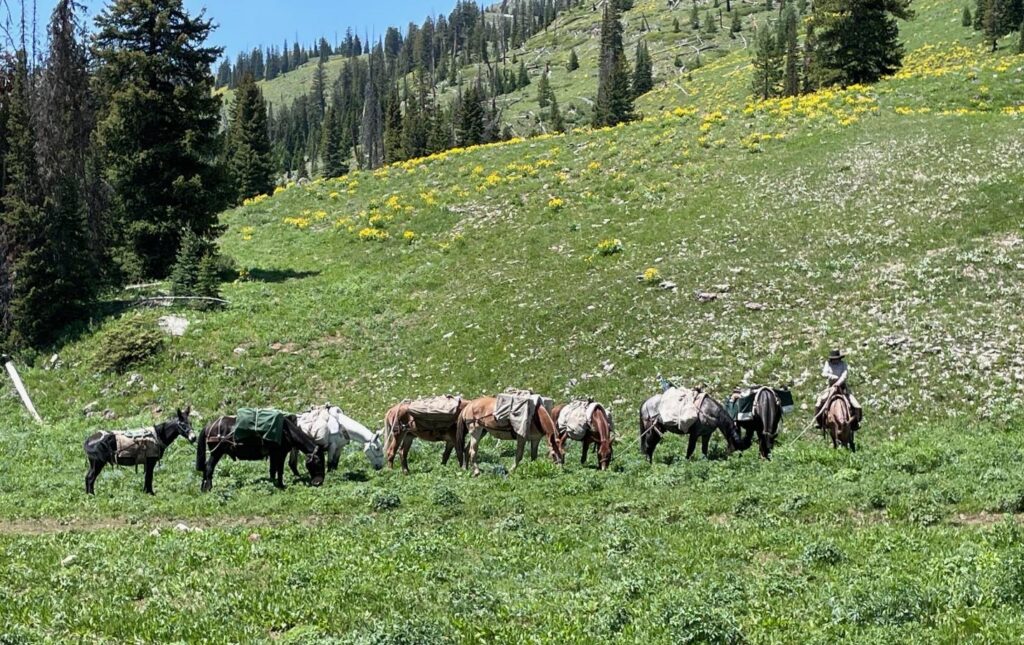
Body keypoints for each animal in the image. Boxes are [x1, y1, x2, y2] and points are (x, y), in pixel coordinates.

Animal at [196, 413, 324, 492]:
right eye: (319, 462)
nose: (319, 482)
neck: (287, 431)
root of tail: (209, 425)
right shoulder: (280, 454)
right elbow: (280, 470)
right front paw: (281, 486)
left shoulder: (273, 455)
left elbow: (272, 470)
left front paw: (273, 484)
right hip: (216, 452)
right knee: (209, 467)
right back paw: (208, 489)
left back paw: (203, 488)